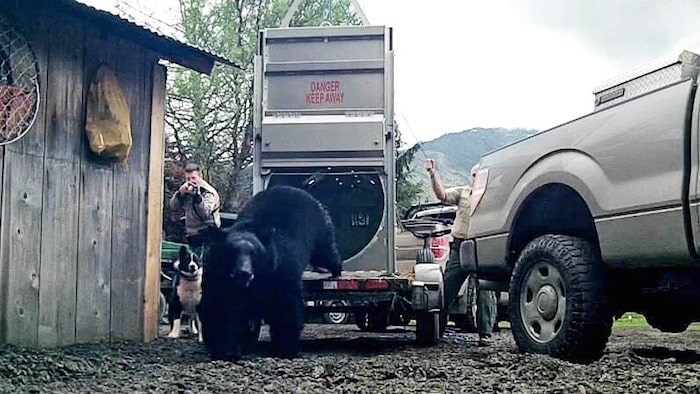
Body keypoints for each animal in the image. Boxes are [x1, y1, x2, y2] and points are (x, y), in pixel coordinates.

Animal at [198, 185, 344, 360]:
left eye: (254, 253)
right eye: (231, 252)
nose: (243, 273)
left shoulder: (280, 273)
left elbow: (286, 307)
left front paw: (286, 348)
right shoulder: (218, 278)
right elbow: (219, 308)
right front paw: (225, 350)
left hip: (319, 227)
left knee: (326, 251)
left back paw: (335, 269)